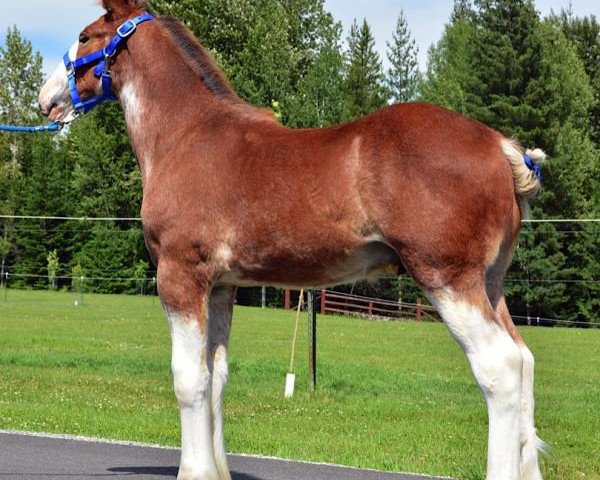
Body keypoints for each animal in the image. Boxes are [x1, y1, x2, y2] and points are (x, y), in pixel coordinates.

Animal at [36, 0, 544, 480]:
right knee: (524, 359)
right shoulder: (222, 287)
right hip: (490, 284)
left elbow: (187, 378)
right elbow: (215, 375)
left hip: (447, 278)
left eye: (86, 36)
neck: (186, 136)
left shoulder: (180, 275)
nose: (46, 100)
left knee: (500, 367)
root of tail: (501, 147)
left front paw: (194, 470)